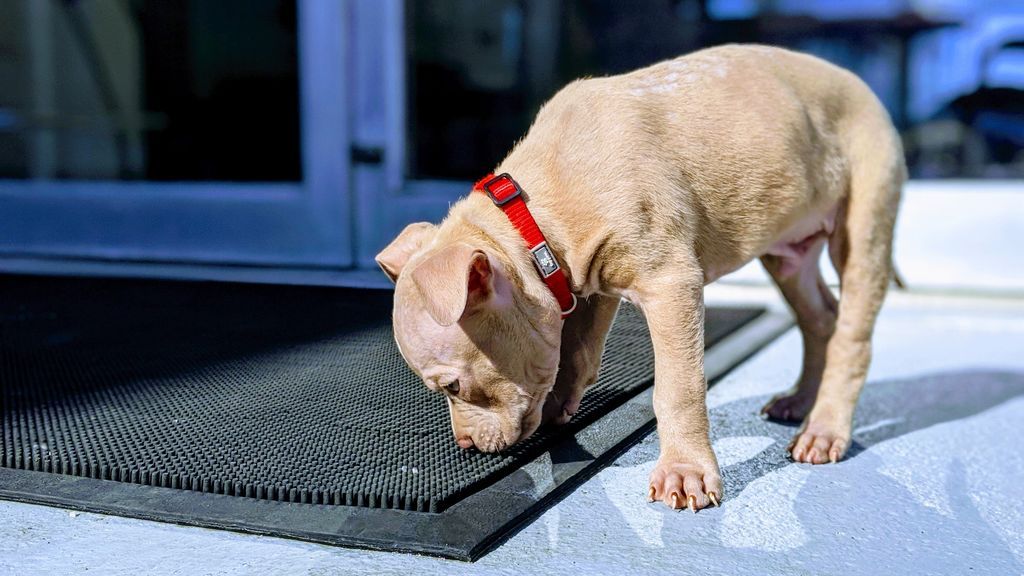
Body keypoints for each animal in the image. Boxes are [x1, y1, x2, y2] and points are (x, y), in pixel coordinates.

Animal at [376, 45, 905, 510]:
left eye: (452, 387)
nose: (464, 445)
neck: (531, 217)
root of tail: (863, 87)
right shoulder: (588, 278)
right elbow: (577, 351)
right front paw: (560, 405)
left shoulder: (670, 281)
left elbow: (677, 388)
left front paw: (685, 472)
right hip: (788, 251)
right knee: (821, 318)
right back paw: (800, 402)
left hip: (865, 217)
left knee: (852, 333)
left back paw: (825, 428)